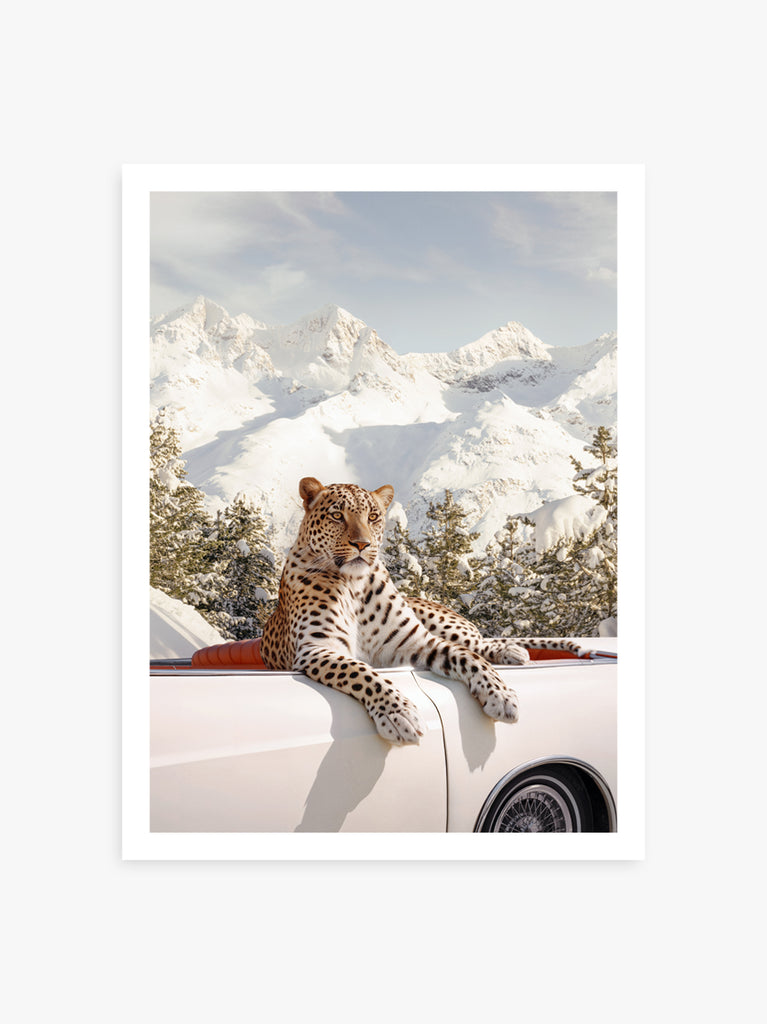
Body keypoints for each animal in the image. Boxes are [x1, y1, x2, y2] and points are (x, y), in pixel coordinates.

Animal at [261, 477, 585, 745]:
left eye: (373, 517)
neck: (353, 585)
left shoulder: (417, 642)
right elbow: (361, 672)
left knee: (477, 643)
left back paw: (512, 651)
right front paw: (398, 715)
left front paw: (501, 695)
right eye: (337, 515)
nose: (362, 544)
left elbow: (469, 658)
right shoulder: (318, 648)